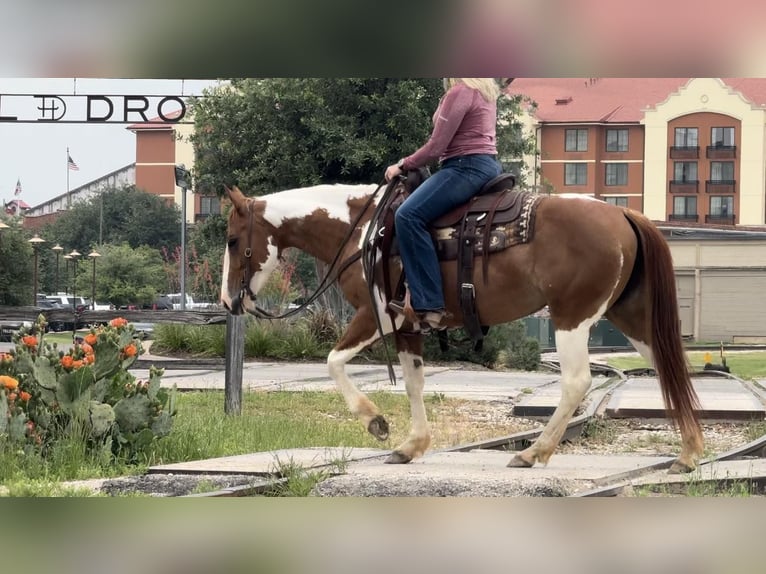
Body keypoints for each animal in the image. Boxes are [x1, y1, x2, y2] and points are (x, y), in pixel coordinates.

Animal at [219, 182, 704, 474]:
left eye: (232, 240)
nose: (228, 301)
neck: (363, 233)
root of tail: (623, 216)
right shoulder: (407, 326)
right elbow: (413, 383)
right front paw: (411, 445)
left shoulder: (376, 316)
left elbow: (334, 361)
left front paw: (376, 422)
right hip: (629, 316)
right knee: (669, 368)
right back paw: (688, 453)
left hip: (572, 316)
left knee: (577, 381)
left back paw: (534, 451)